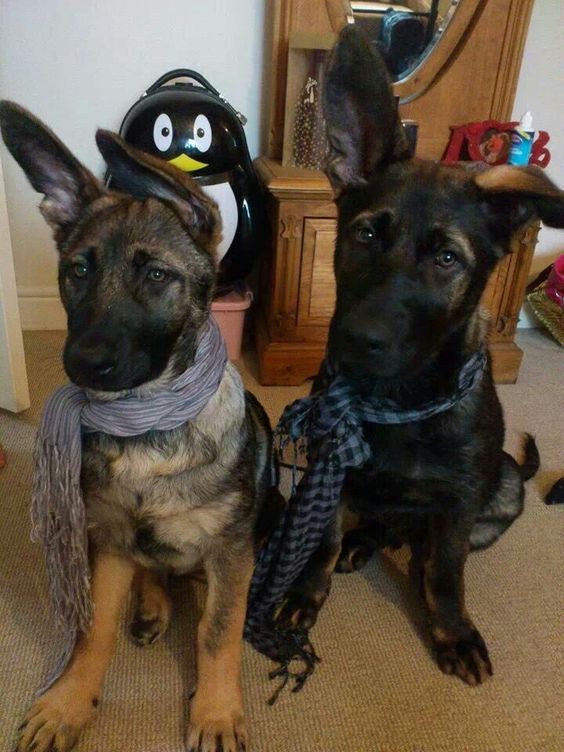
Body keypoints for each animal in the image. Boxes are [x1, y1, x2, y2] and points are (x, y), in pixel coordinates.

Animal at [1, 104, 270, 752]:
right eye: (76, 271)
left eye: (155, 276)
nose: (82, 362)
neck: (149, 424)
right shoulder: (109, 539)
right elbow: (93, 627)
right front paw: (70, 701)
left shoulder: (231, 553)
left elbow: (217, 633)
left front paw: (215, 712)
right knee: (154, 568)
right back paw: (150, 605)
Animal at [278, 29, 564, 688]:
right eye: (364, 235)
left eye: (446, 259)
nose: (357, 339)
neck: (396, 398)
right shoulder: (329, 470)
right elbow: (322, 542)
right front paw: (307, 593)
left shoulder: (458, 503)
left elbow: (446, 575)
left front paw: (452, 630)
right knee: (371, 530)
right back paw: (362, 545)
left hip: (504, 488)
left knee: (428, 549)